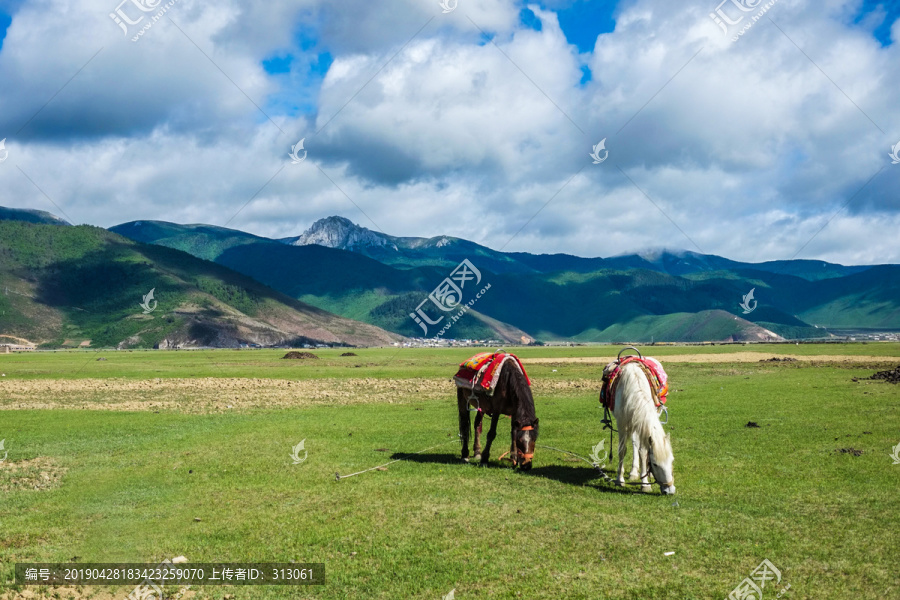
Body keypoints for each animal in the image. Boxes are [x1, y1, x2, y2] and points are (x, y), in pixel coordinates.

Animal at [612, 364, 676, 494]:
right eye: (655, 464)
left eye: (672, 460)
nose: (670, 490)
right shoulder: (621, 424)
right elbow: (622, 450)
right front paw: (619, 480)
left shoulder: (642, 425)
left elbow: (643, 452)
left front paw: (645, 483)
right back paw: (633, 472)